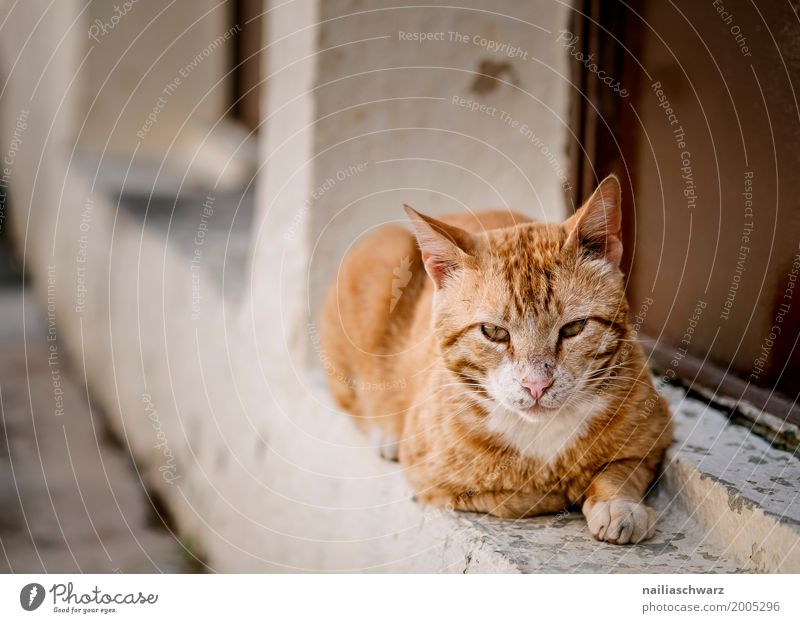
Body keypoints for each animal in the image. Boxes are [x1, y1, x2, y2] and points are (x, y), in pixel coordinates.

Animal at [322, 177, 672, 544]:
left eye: (574, 328)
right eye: (494, 332)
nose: (536, 385)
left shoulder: (654, 434)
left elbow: (622, 469)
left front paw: (617, 504)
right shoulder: (432, 482)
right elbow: (518, 497)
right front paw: (562, 488)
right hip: (383, 248)